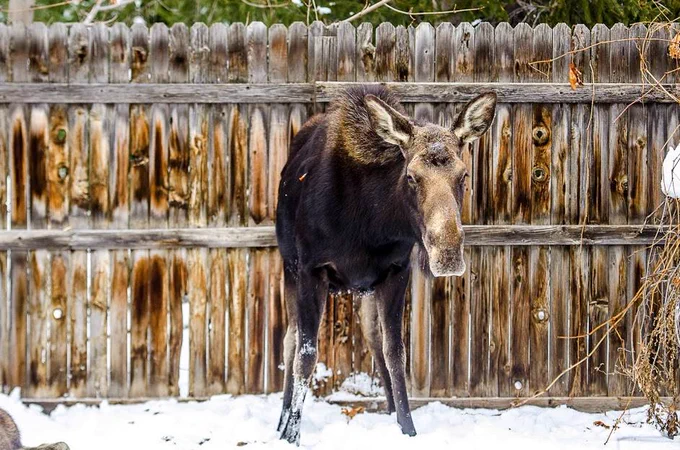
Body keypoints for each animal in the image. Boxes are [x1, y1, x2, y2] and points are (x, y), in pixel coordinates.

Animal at [275, 85, 497, 445]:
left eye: (463, 174)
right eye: (411, 177)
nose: (448, 254)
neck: (370, 221)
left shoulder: (395, 271)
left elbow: (395, 351)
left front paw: (406, 427)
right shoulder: (311, 270)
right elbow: (305, 355)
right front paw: (291, 434)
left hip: (364, 289)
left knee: (372, 336)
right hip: (289, 269)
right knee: (289, 342)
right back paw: (281, 421)